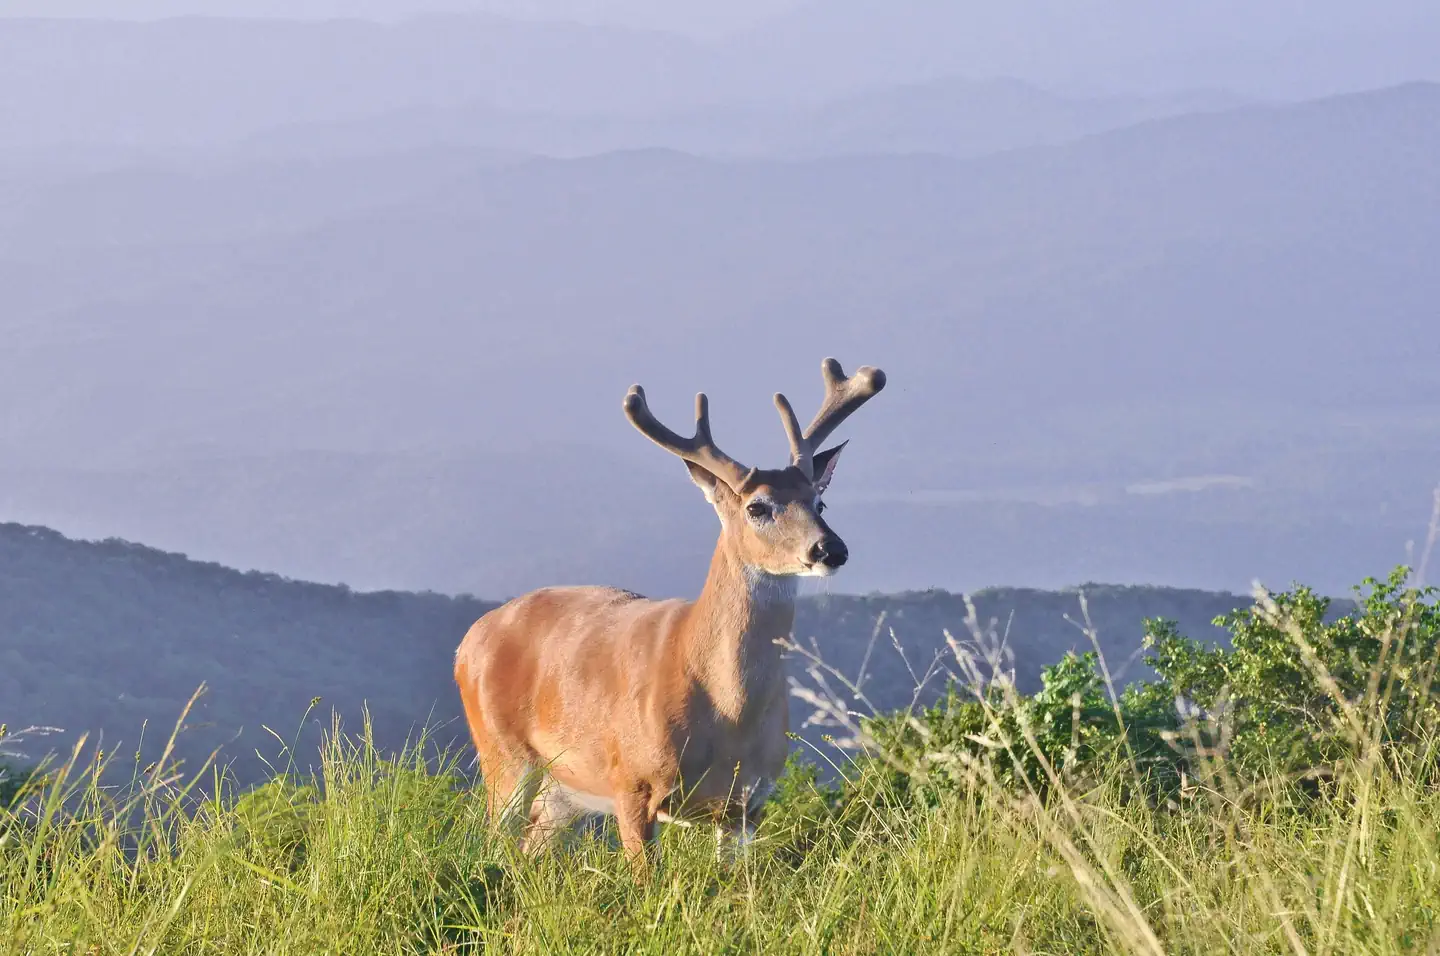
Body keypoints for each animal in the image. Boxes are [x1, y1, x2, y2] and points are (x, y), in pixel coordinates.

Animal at [453, 357, 885, 875]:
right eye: (758, 506)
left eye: (819, 502)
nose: (830, 548)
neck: (727, 713)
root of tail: (469, 640)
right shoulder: (631, 782)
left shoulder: (748, 803)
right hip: (504, 753)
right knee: (494, 842)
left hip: (563, 791)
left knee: (531, 846)